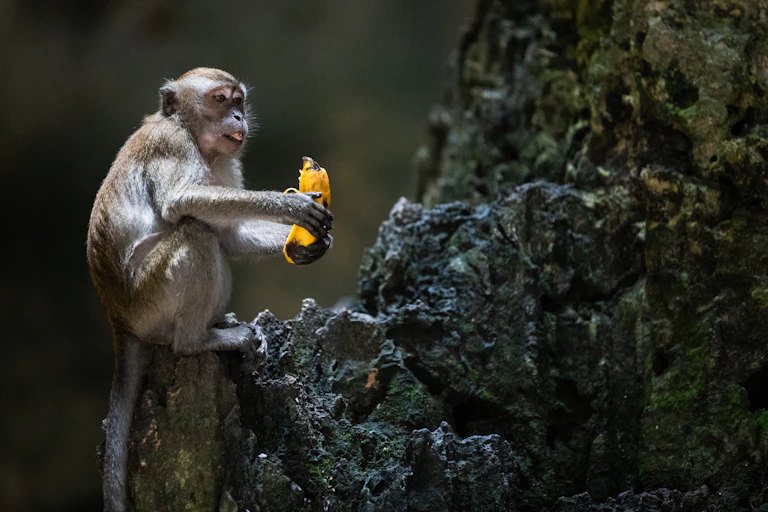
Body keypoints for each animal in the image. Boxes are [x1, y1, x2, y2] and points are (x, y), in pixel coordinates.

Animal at [86, 68, 333, 512]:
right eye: (220, 100)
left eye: (239, 101)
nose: (238, 118)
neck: (192, 135)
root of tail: (118, 319)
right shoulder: (170, 144)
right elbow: (183, 202)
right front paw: (288, 206)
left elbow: (230, 236)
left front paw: (309, 245)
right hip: (149, 301)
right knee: (196, 232)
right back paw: (197, 340)